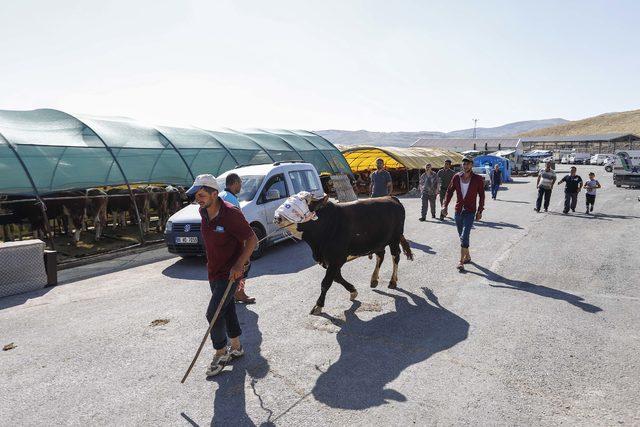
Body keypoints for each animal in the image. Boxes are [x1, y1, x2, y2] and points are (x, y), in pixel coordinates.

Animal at [276, 194, 416, 314]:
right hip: (377, 242)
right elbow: (337, 278)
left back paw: (392, 281)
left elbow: (325, 283)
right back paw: (374, 279)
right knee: (380, 255)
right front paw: (353, 291)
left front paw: (318, 305)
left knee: (395, 257)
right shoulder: (329, 261)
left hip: (394, 238)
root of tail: (391, 197)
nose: (277, 217)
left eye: (304, 202)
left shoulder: (336, 259)